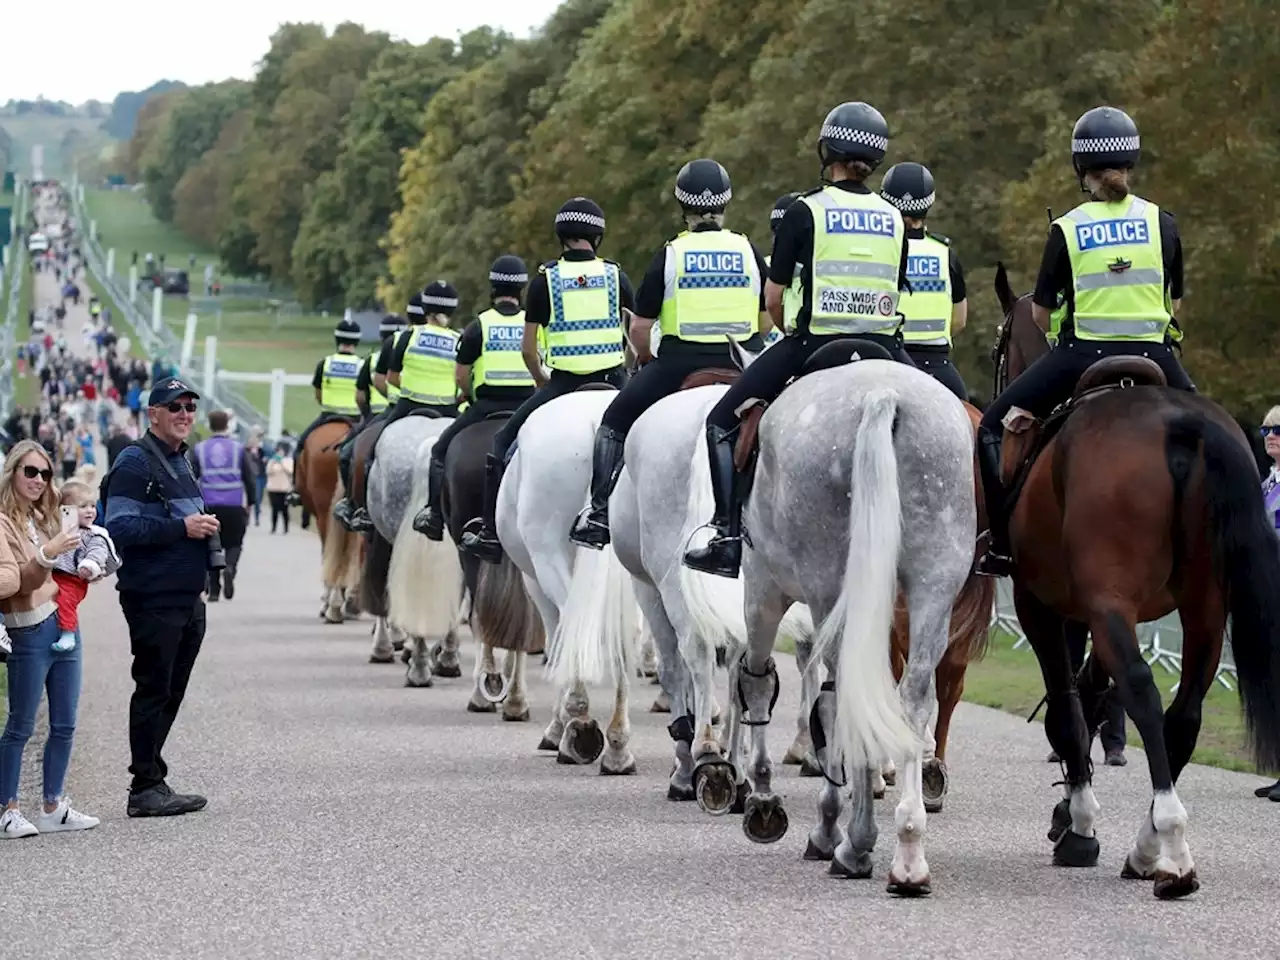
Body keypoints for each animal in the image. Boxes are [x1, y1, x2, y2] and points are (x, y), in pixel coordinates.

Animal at [993, 264, 1280, 901]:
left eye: (999, 347)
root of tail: (1182, 424)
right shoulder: (1101, 611)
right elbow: (1092, 694)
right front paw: (1071, 814)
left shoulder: (1043, 605)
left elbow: (1070, 707)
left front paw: (1077, 825)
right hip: (1204, 609)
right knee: (1185, 709)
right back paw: (1150, 842)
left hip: (1114, 605)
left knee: (1145, 690)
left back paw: (1168, 846)